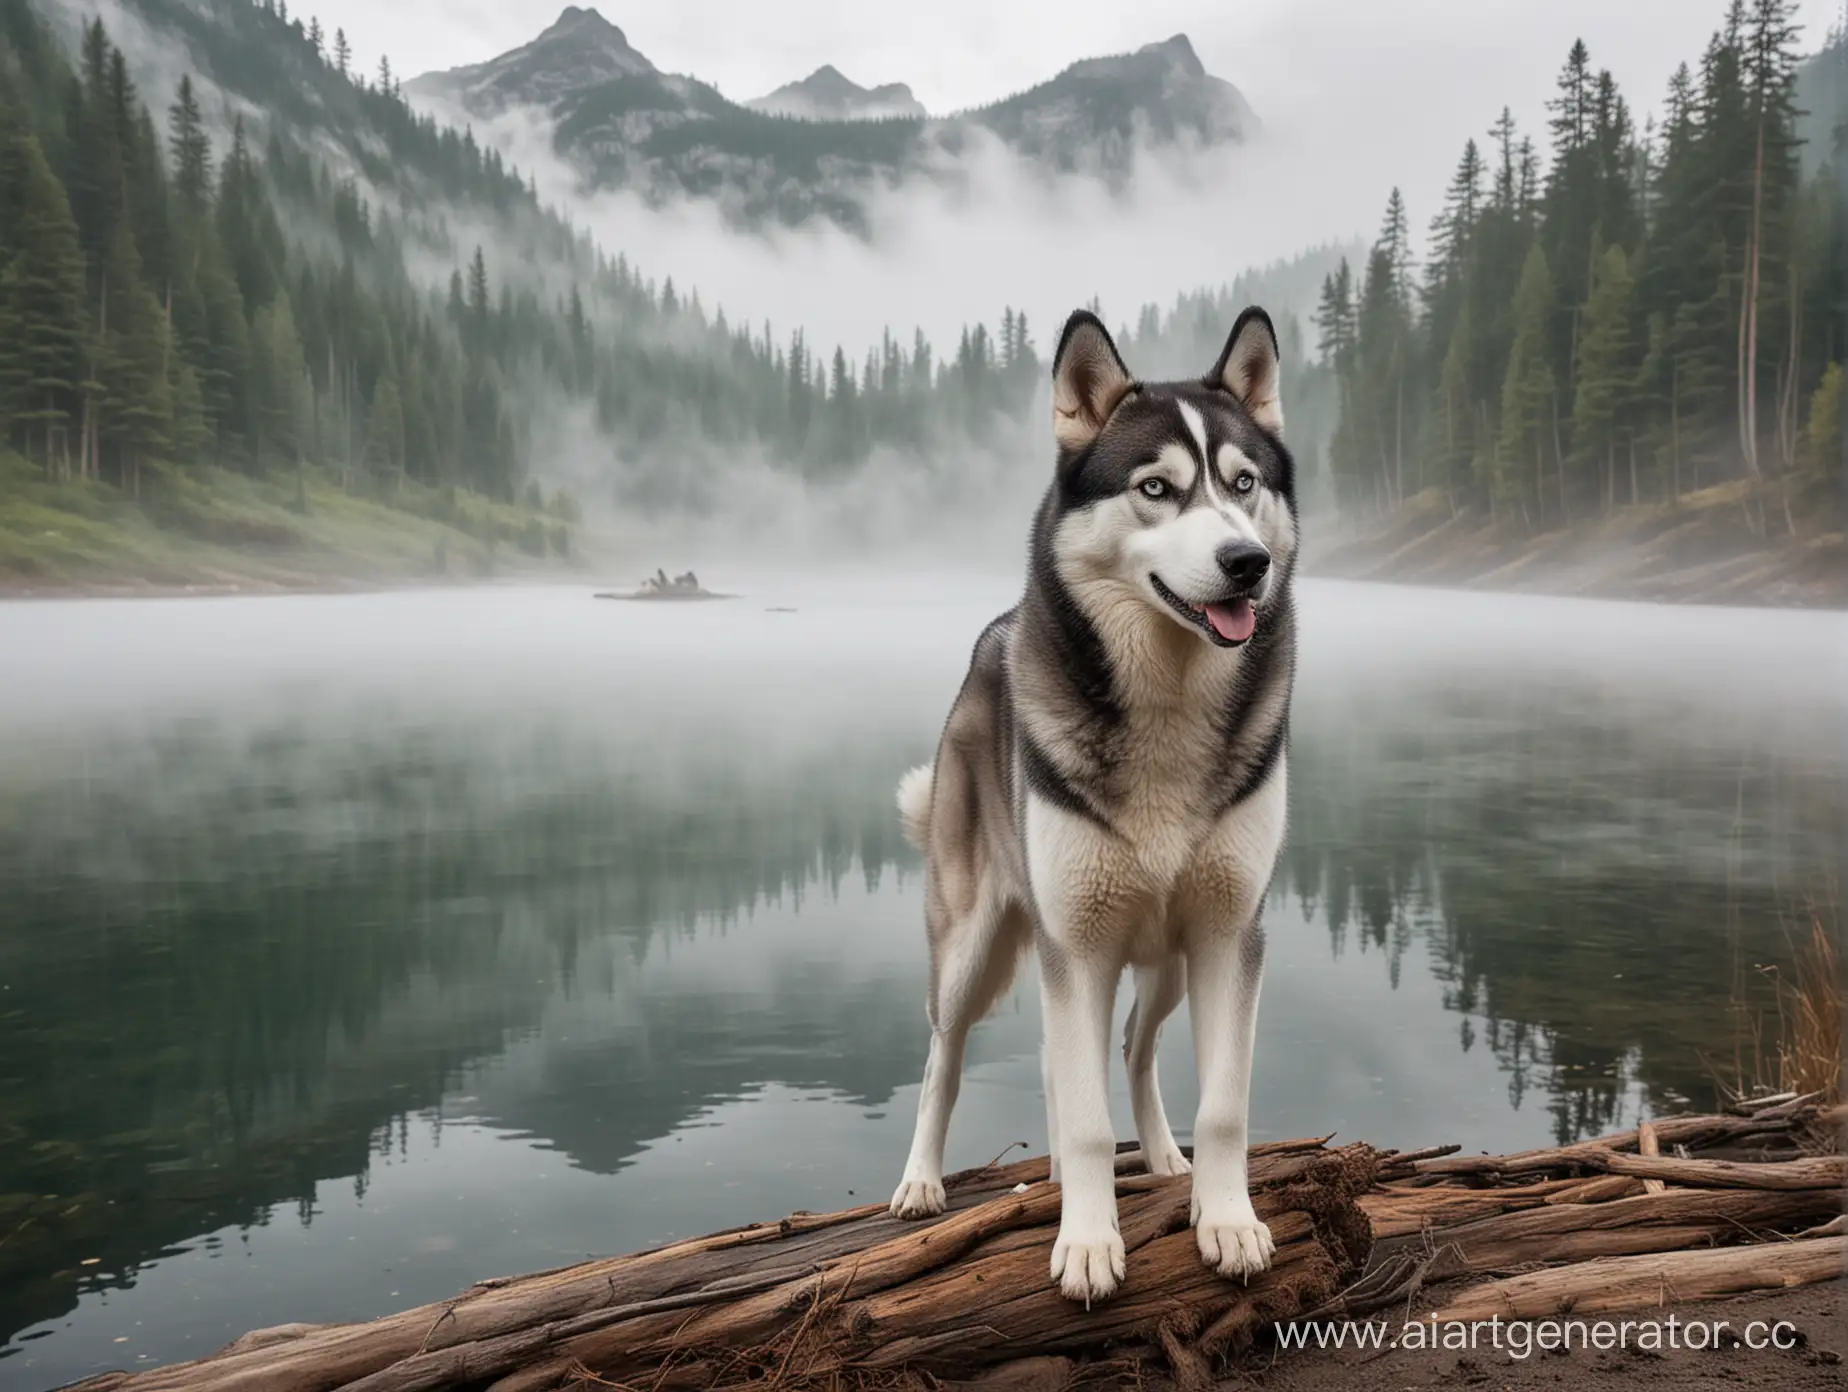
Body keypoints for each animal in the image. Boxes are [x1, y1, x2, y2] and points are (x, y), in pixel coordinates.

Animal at [883, 303, 1293, 1301]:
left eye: (1244, 485)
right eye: (1155, 488)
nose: (1248, 561)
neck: (1169, 704)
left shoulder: (1229, 933)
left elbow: (1223, 1105)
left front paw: (1225, 1217)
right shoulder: (1077, 943)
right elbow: (1079, 1116)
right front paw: (1087, 1240)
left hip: (1164, 962)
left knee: (1135, 1049)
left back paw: (1164, 1159)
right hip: (975, 946)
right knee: (945, 1056)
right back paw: (922, 1181)